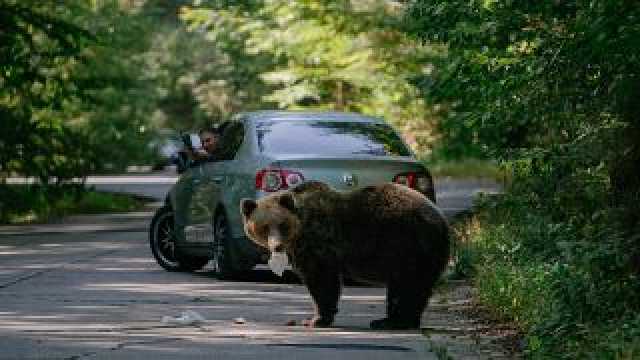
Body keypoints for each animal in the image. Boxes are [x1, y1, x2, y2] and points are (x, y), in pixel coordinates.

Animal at [240, 180, 450, 330]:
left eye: (282, 225)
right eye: (264, 227)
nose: (277, 246)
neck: (299, 232)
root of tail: (442, 220)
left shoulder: (318, 244)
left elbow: (322, 281)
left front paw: (315, 319)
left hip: (409, 245)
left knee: (409, 285)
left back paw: (394, 322)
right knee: (405, 287)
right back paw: (391, 320)